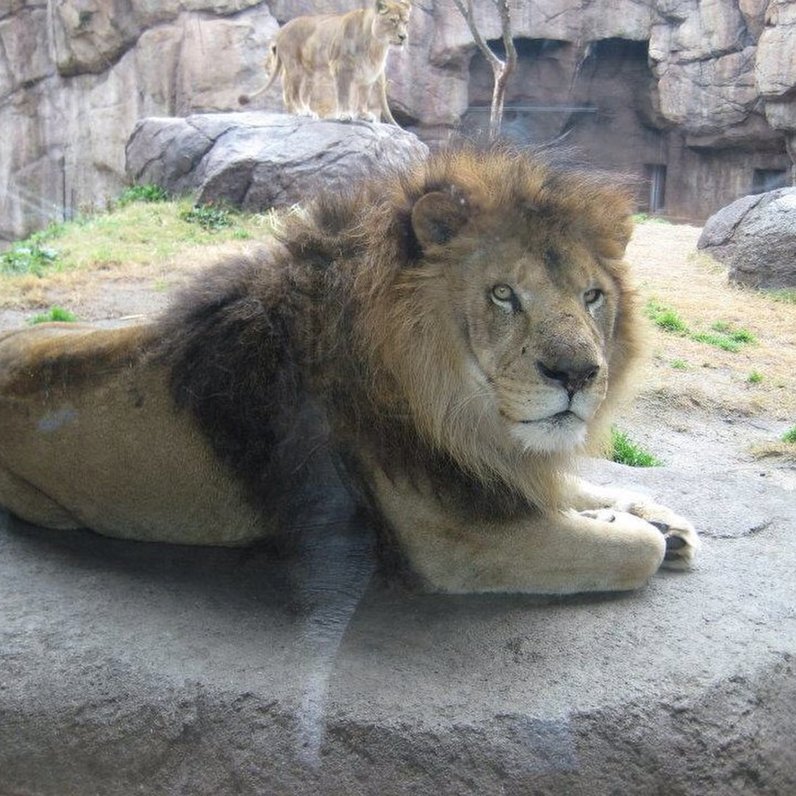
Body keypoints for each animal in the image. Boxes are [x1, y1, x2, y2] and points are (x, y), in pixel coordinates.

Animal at [0, 146, 696, 592]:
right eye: (503, 294)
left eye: (592, 296)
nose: (578, 375)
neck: (448, 408)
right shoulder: (460, 545)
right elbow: (634, 552)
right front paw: (636, 529)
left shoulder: (483, 467)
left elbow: (575, 486)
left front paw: (652, 513)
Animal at [236, 0, 410, 123]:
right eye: (393, 20)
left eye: (406, 22)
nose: (403, 36)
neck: (377, 45)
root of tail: (281, 30)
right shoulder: (341, 68)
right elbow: (343, 94)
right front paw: (344, 115)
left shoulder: (369, 74)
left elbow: (363, 97)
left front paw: (364, 115)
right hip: (295, 68)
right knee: (292, 93)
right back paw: (302, 112)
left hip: (310, 74)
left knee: (299, 93)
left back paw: (307, 111)